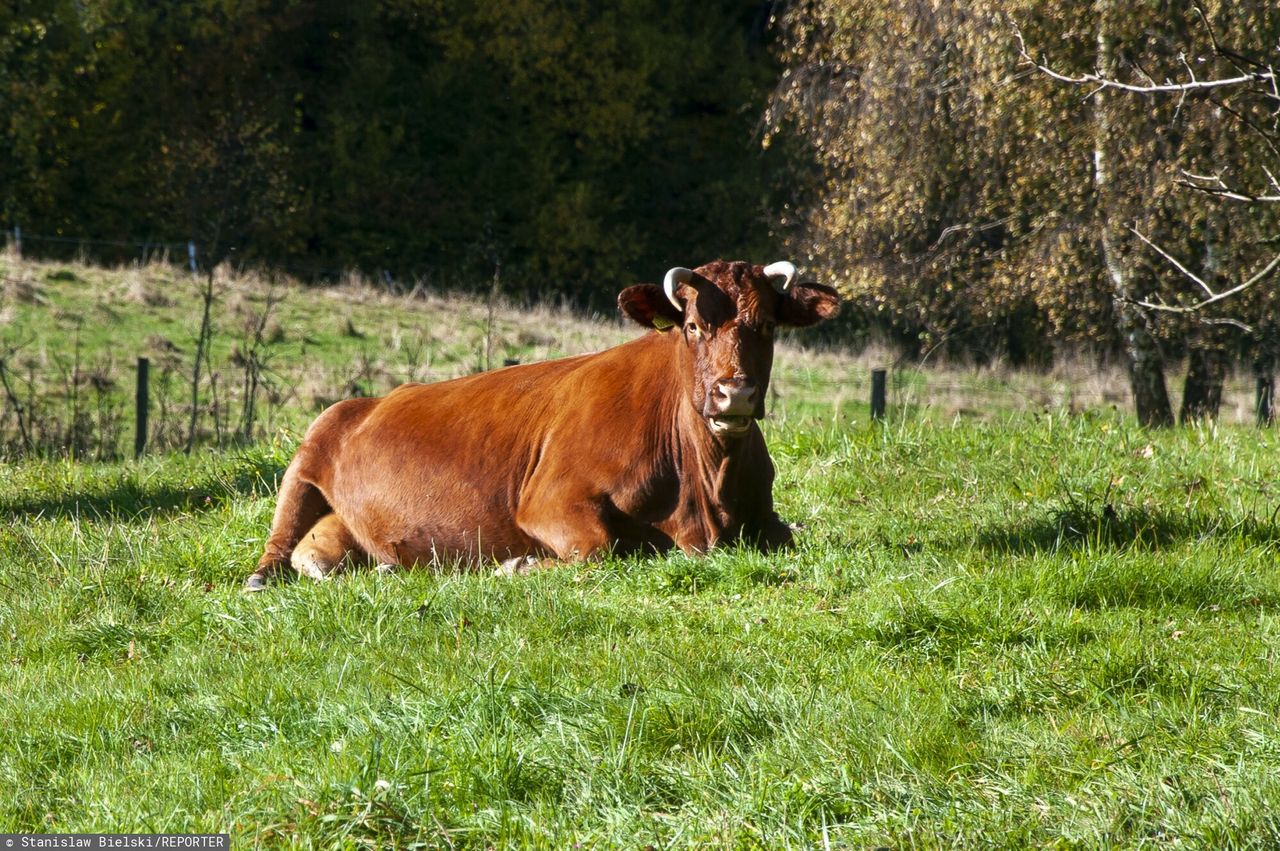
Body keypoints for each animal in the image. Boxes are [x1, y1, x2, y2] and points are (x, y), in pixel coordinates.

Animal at [244, 261, 839, 591]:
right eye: (692, 325)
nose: (734, 392)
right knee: (280, 542)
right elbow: (599, 548)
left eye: (768, 326)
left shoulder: (765, 518)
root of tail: (370, 401)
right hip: (308, 453)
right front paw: (518, 567)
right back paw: (260, 577)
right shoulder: (549, 500)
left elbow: (792, 536)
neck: (705, 497)